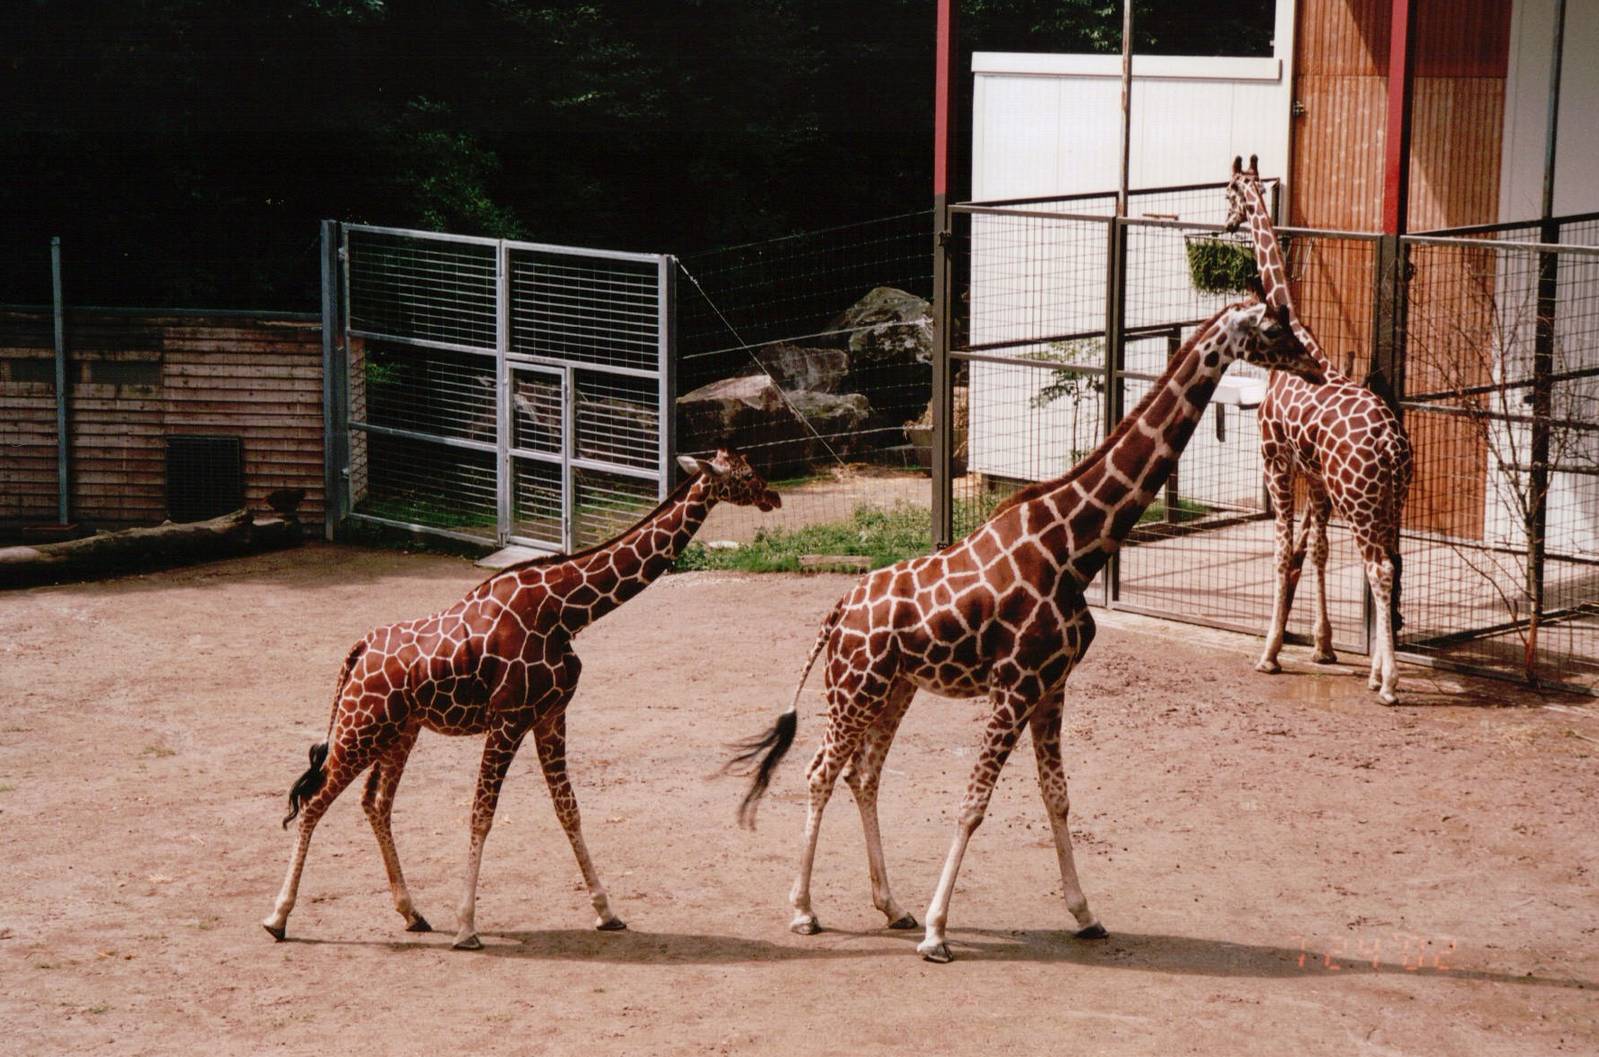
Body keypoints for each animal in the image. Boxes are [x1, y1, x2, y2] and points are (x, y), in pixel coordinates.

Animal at [262, 449, 780, 949]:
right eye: (744, 472)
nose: (772, 495)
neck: (568, 611)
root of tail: (358, 650)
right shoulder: (508, 718)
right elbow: (482, 815)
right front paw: (467, 927)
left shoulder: (550, 715)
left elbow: (568, 810)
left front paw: (607, 912)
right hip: (361, 726)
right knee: (314, 803)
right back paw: (277, 918)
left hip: (398, 730)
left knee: (375, 802)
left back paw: (412, 913)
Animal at [730, 299, 1323, 963]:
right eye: (1273, 328)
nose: (1315, 367)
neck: (1077, 550)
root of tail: (836, 612)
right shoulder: (1014, 684)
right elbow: (973, 804)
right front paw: (938, 932)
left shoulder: (1052, 685)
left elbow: (1057, 795)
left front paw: (1085, 914)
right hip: (853, 689)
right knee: (820, 772)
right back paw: (805, 911)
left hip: (894, 689)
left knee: (864, 775)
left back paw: (891, 906)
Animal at [1224, 155, 1414, 704]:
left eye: (1229, 191)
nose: (1227, 222)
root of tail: (1391, 444)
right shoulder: (1317, 478)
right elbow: (1318, 553)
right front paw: (1324, 646)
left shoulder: (1275, 458)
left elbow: (1282, 550)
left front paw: (1269, 652)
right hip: (1391, 497)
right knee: (1392, 564)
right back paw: (1376, 672)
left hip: (1360, 497)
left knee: (1380, 567)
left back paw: (1389, 684)